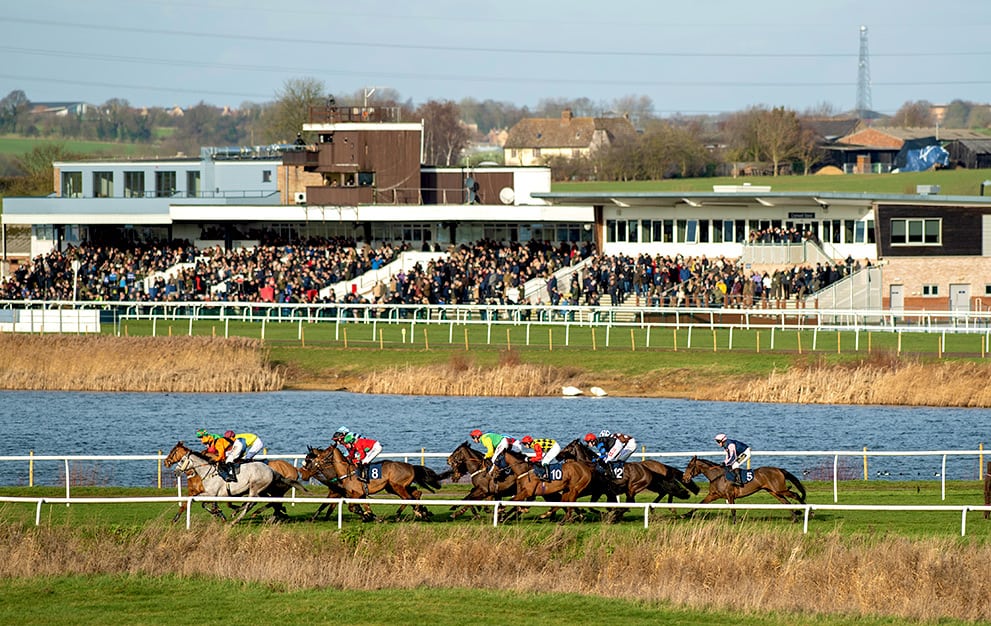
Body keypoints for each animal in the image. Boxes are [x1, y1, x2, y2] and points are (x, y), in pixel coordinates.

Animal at [298, 444, 446, 520]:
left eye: (310, 458)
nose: (302, 472)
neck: (343, 471)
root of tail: (411, 466)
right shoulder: (352, 494)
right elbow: (361, 506)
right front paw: (369, 515)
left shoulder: (352, 493)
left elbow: (351, 507)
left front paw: (368, 516)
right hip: (394, 487)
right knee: (415, 493)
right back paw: (420, 511)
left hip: (397, 486)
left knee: (408, 498)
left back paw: (410, 513)